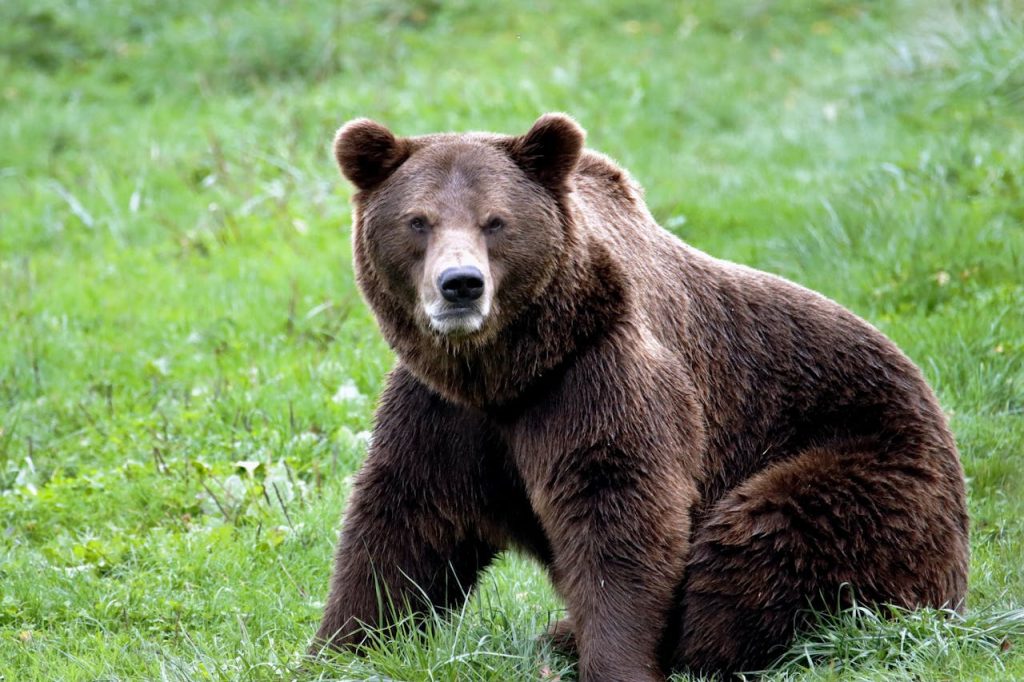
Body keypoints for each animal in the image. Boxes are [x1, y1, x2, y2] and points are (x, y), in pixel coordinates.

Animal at [310, 113, 969, 680]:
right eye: (418, 220)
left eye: (495, 221)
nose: (461, 285)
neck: (506, 372)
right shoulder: (445, 412)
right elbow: (404, 524)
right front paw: (339, 647)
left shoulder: (596, 376)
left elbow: (619, 513)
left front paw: (615, 662)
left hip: (868, 463)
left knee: (765, 542)